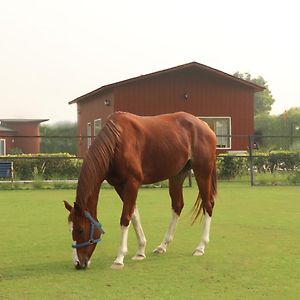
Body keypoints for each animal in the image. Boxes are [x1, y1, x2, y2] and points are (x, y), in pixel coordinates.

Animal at [64, 110, 217, 270]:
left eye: (80, 230)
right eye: (70, 230)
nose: (78, 263)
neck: (117, 142)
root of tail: (204, 125)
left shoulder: (132, 183)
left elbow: (125, 218)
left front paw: (119, 259)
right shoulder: (120, 186)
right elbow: (134, 215)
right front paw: (140, 252)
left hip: (202, 172)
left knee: (208, 205)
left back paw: (200, 247)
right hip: (177, 175)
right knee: (177, 205)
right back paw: (163, 246)